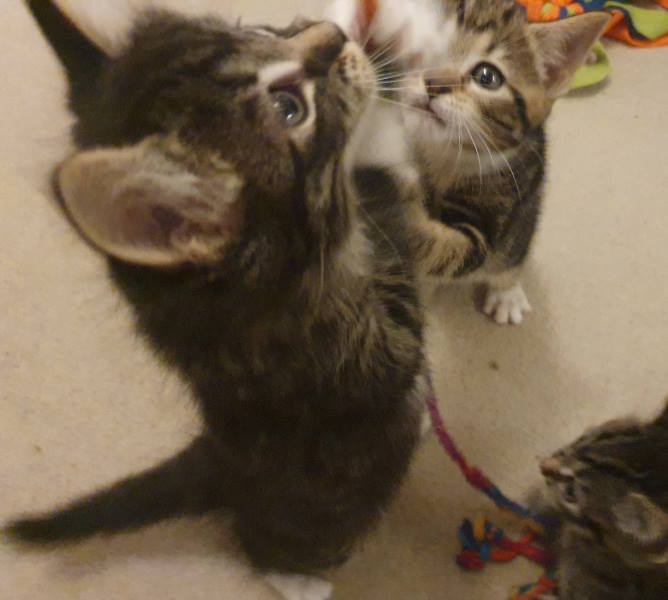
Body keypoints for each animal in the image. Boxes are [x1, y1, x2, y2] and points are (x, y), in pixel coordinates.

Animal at [6, 2, 428, 596]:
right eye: (288, 108)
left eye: (253, 27)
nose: (332, 34)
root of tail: (219, 463)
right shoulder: (356, 354)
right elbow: (380, 181)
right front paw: (390, 55)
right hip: (332, 508)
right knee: (264, 544)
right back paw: (296, 578)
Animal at [328, 0, 612, 324]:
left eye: (488, 77)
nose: (433, 83)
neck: (436, 151)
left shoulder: (494, 210)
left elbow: (448, 248)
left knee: (514, 250)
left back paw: (507, 290)